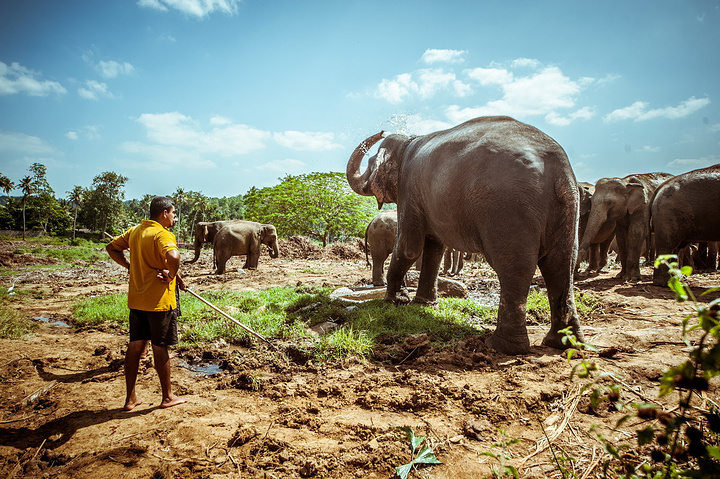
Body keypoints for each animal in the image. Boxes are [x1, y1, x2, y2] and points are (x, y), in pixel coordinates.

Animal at [346, 116, 583, 355]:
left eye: (370, 163)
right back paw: (563, 343)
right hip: (567, 205)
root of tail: (560, 169)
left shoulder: (409, 190)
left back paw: (502, 346)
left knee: (516, 268)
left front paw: (394, 302)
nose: (382, 131)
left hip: (508, 207)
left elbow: (409, 247)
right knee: (561, 264)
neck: (407, 141)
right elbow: (433, 248)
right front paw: (422, 304)